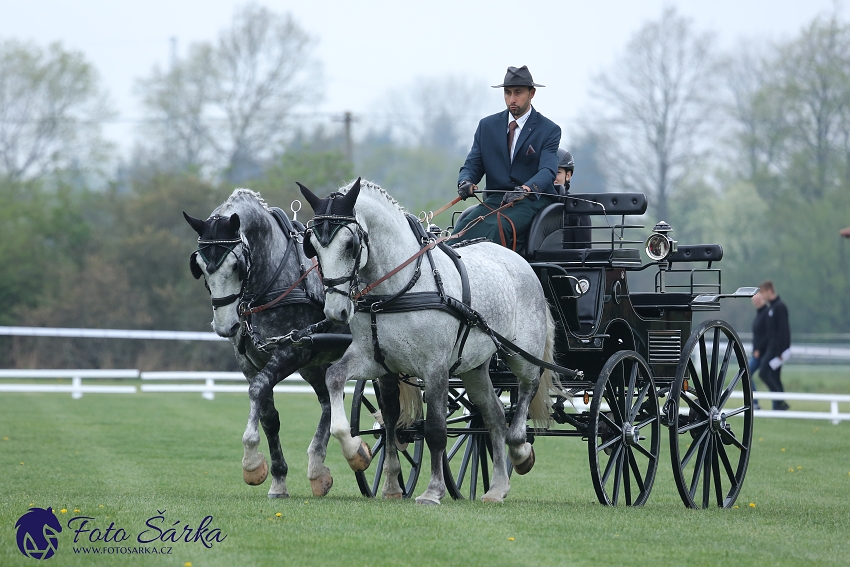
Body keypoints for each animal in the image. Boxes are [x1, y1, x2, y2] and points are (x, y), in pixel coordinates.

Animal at [185, 190, 344, 496]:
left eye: (236, 265)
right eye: (198, 266)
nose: (226, 326)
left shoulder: (292, 350)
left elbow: (257, 390)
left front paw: (250, 460)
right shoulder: (249, 361)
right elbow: (269, 415)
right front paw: (278, 479)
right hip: (315, 365)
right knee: (328, 402)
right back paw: (319, 468)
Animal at [298, 180, 556, 504]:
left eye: (350, 244)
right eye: (313, 246)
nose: (335, 311)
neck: (399, 288)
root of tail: (518, 261)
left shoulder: (435, 368)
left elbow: (435, 430)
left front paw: (433, 491)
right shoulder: (378, 364)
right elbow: (382, 416)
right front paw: (369, 464)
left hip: (520, 354)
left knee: (527, 389)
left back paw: (520, 450)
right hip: (474, 367)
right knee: (494, 415)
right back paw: (497, 487)